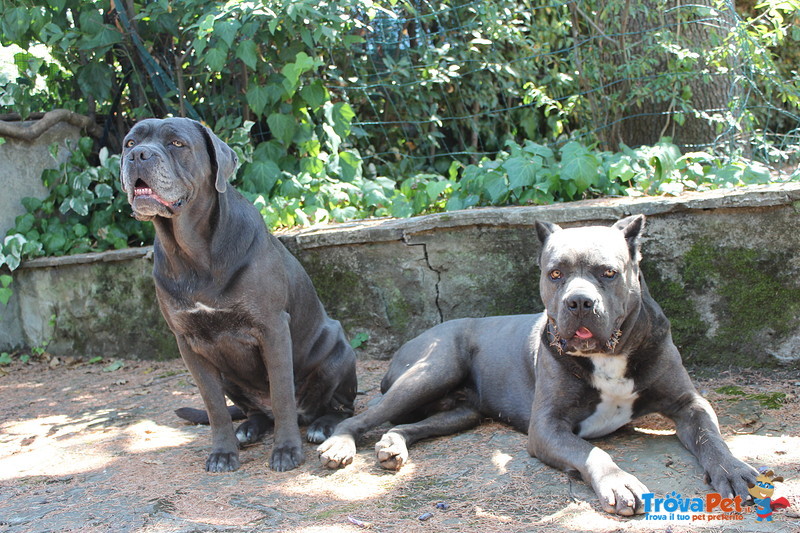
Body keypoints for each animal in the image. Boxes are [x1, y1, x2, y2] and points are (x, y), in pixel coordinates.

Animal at [119, 118, 356, 472]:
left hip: (338, 355)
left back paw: (322, 425)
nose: (139, 155)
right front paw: (222, 453)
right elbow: (214, 406)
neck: (191, 252)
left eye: (177, 143)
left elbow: (282, 395)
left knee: (338, 407)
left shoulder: (272, 328)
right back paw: (248, 428)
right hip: (230, 375)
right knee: (256, 411)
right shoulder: (188, 343)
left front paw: (286, 451)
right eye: (130, 143)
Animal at [316, 214, 752, 512]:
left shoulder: (688, 403)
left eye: (609, 273)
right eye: (555, 273)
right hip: (431, 371)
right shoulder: (546, 426)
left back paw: (393, 445)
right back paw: (339, 444)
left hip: (462, 412)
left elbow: (711, 436)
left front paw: (732, 468)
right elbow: (591, 452)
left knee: (407, 424)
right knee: (363, 416)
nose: (579, 302)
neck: (607, 354)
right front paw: (619, 482)